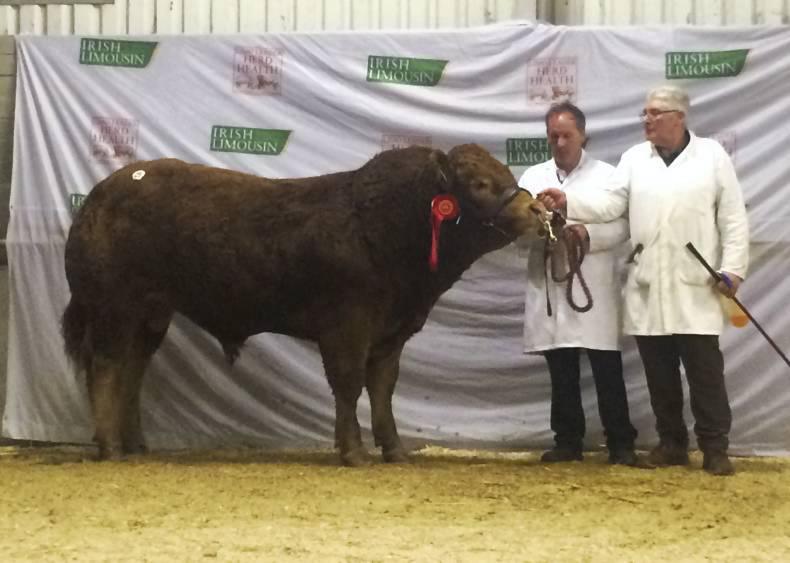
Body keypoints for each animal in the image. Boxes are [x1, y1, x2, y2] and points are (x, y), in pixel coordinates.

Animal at [62, 144, 548, 466]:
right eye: (480, 183)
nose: (536, 211)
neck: (381, 226)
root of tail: (99, 196)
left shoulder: (390, 333)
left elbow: (383, 387)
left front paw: (393, 449)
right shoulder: (347, 326)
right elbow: (349, 384)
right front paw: (353, 451)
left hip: (151, 316)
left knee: (133, 369)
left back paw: (135, 445)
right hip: (113, 307)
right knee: (106, 366)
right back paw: (108, 446)